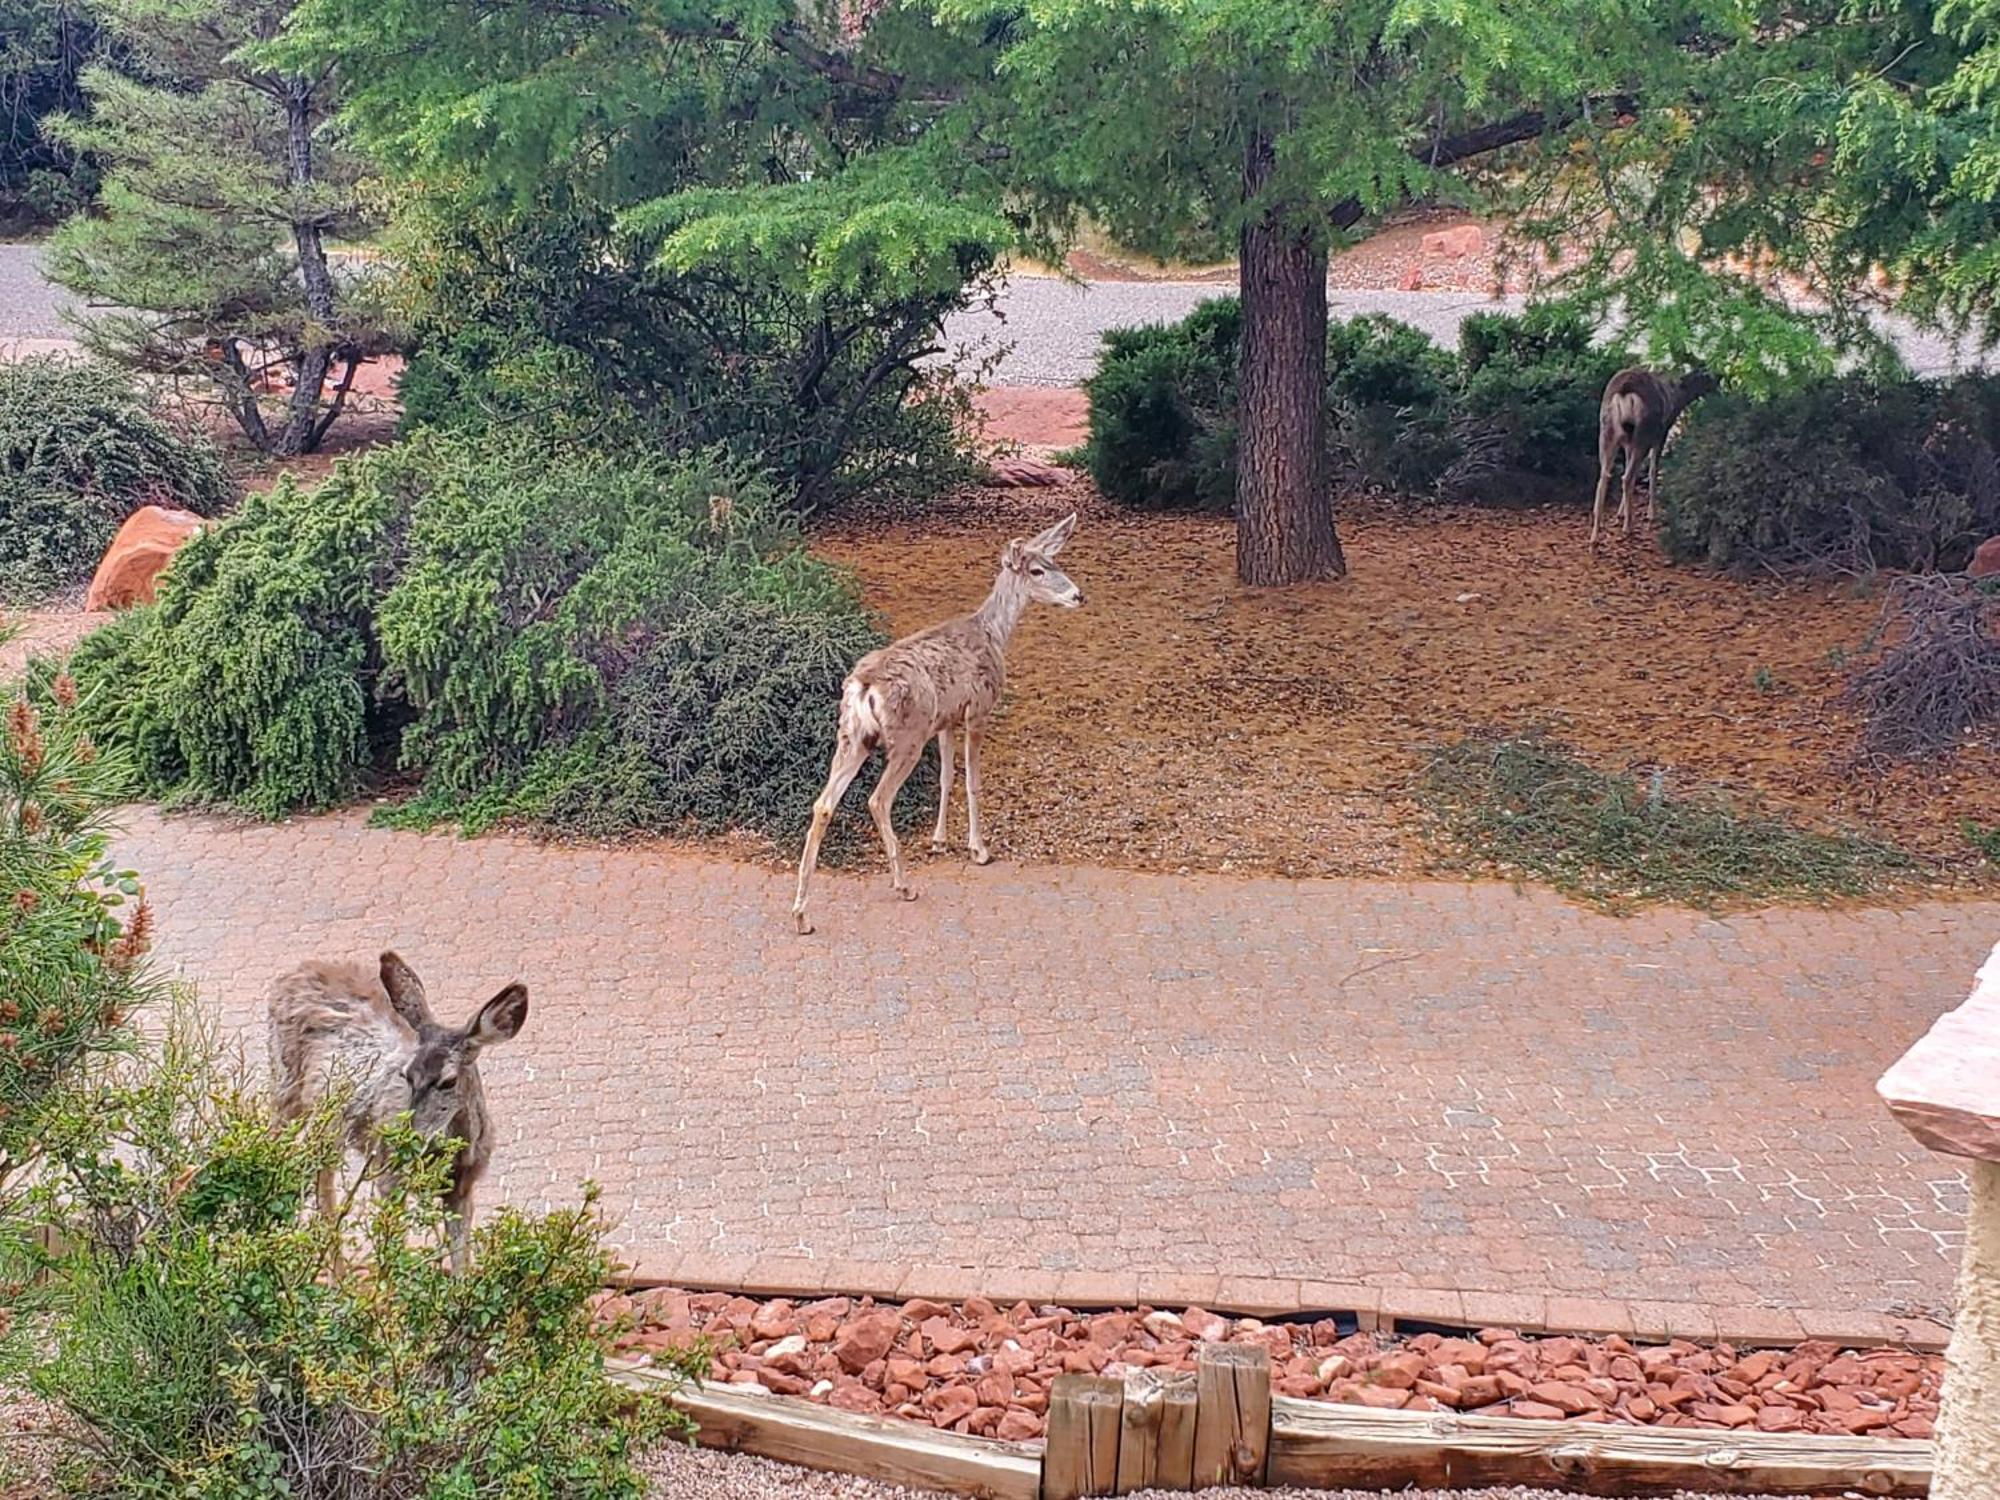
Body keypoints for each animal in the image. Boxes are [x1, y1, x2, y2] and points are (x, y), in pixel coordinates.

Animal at [268, 956, 532, 1272]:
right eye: (406, 1075)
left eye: (449, 1081)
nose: (409, 1135)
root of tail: (294, 971)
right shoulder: (389, 1172)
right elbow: (392, 1250)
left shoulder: (463, 1186)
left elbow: (461, 1261)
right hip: (287, 1086)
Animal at [788, 524, 1088, 936]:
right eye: (1037, 571)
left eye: (1055, 561)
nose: (1078, 595)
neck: (994, 634)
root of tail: (863, 686)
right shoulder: (978, 711)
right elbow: (972, 781)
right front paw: (979, 849)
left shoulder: (946, 721)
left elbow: (947, 777)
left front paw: (940, 840)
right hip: (907, 737)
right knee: (878, 800)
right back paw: (904, 885)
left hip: (852, 737)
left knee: (823, 804)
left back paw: (802, 914)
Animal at [1584, 368, 1728, 556]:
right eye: (1709, 378)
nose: (1720, 384)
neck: (1678, 396)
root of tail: (1624, 392)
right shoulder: (1662, 433)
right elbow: (1653, 470)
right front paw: (1651, 513)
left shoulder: (1628, 443)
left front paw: (1620, 513)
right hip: (1643, 432)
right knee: (1627, 477)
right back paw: (1629, 527)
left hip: (1608, 431)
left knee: (1605, 477)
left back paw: (1595, 539)